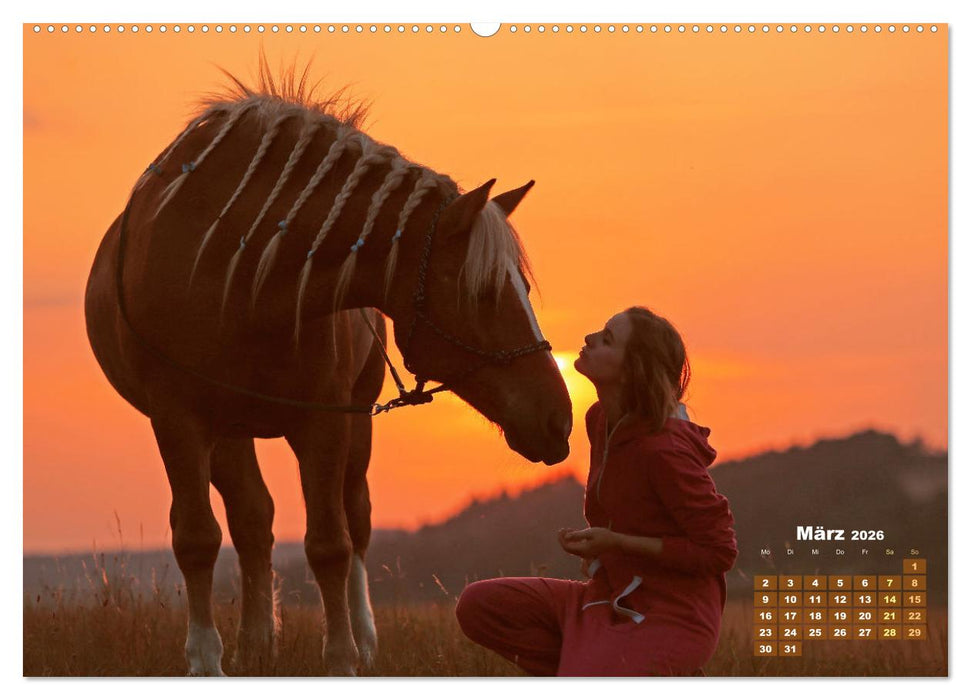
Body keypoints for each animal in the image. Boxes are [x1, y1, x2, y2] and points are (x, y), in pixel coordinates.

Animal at [83, 65, 573, 676]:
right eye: (483, 294)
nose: (559, 420)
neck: (231, 269)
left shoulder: (325, 419)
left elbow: (330, 543)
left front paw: (342, 657)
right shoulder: (179, 418)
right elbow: (198, 537)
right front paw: (206, 660)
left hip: (353, 424)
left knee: (353, 520)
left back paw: (360, 639)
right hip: (228, 430)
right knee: (252, 519)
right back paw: (255, 644)